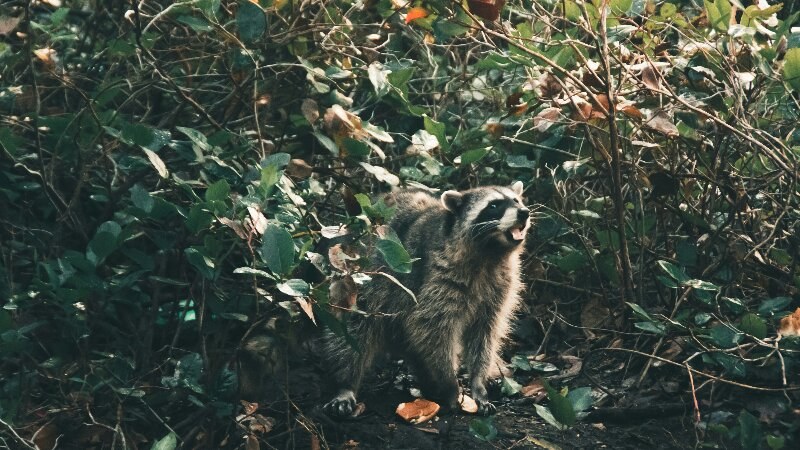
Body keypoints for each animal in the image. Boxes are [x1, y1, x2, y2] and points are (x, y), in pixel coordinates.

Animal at [318, 181, 532, 416]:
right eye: (494, 205)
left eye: (517, 200)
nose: (524, 212)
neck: (490, 253)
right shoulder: (437, 273)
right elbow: (431, 328)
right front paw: (450, 383)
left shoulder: (500, 285)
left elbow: (485, 334)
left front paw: (478, 382)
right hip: (357, 277)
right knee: (352, 331)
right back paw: (346, 383)